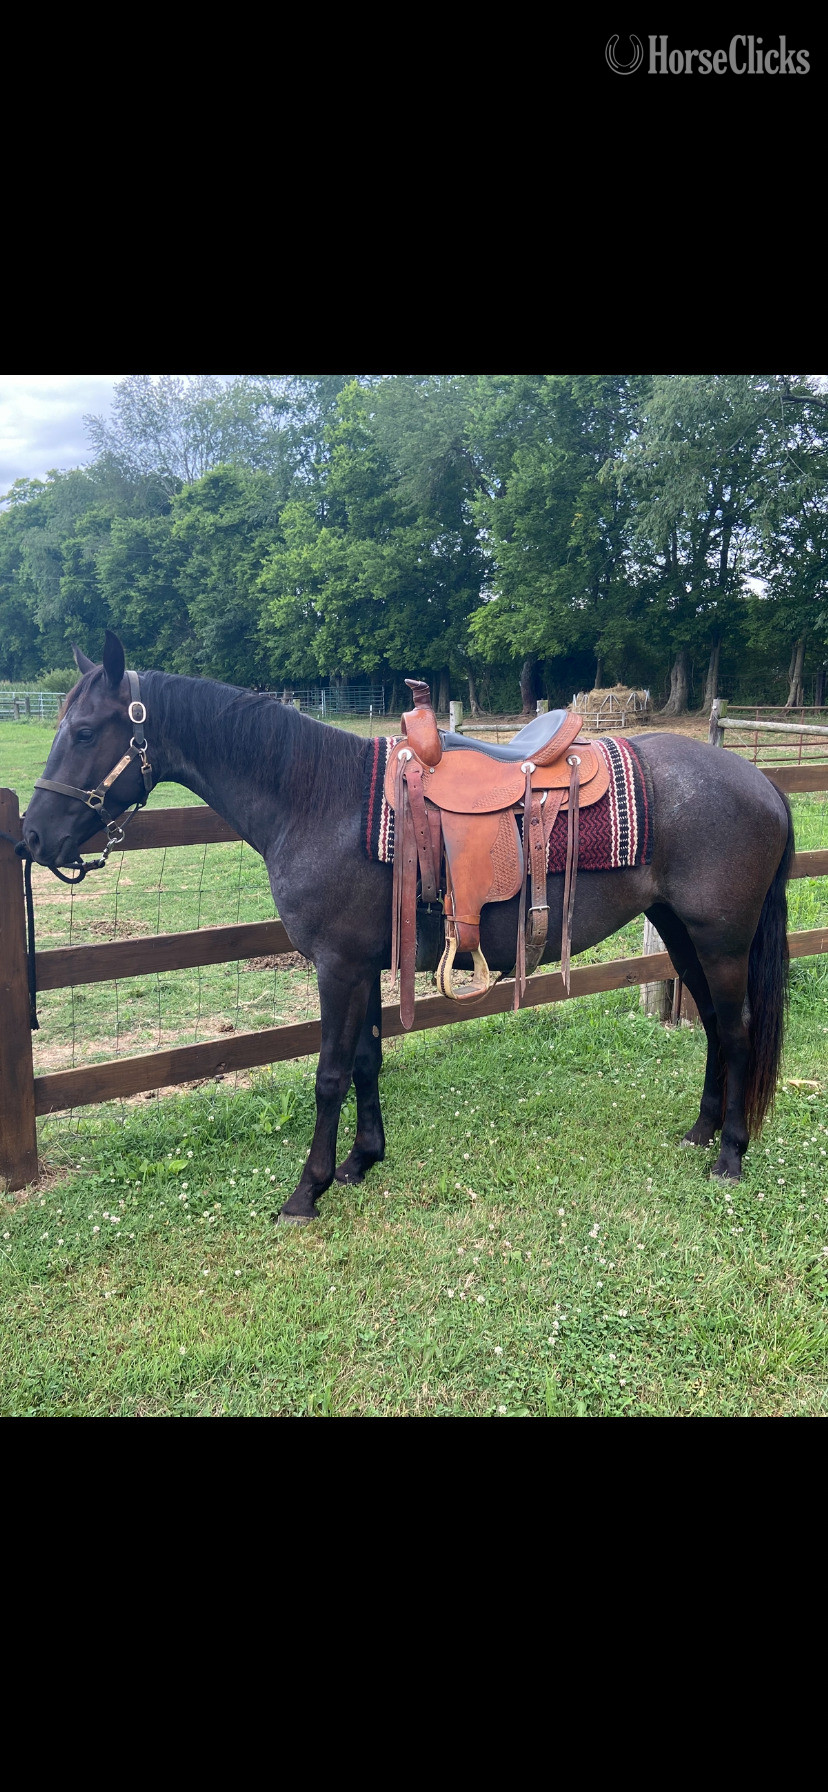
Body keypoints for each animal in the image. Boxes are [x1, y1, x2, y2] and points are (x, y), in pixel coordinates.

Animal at [22, 631, 795, 1222]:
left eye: (85, 731)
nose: (31, 837)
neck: (321, 801)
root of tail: (761, 782)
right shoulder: (364, 962)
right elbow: (367, 1060)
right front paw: (363, 1159)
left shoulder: (337, 965)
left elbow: (329, 1073)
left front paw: (307, 1190)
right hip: (682, 934)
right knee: (716, 1028)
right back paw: (701, 1131)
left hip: (721, 940)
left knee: (737, 1028)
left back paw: (730, 1151)